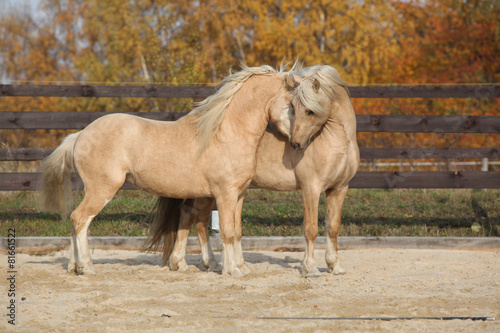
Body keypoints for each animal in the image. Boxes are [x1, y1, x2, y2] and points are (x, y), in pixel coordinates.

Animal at [39, 63, 328, 276]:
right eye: (294, 105)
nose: (299, 143)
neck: (226, 132)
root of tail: (80, 135)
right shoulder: (224, 194)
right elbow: (227, 231)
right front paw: (232, 271)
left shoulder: (239, 194)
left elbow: (237, 231)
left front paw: (241, 267)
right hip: (102, 190)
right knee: (80, 219)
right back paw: (86, 267)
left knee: (77, 222)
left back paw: (74, 266)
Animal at [145, 64, 360, 274]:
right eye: (294, 106)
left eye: (310, 111)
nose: (297, 144)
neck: (339, 142)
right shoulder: (311, 188)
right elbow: (311, 229)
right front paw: (311, 268)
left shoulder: (339, 189)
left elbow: (333, 227)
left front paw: (335, 266)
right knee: (192, 215)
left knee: (194, 217)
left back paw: (194, 264)